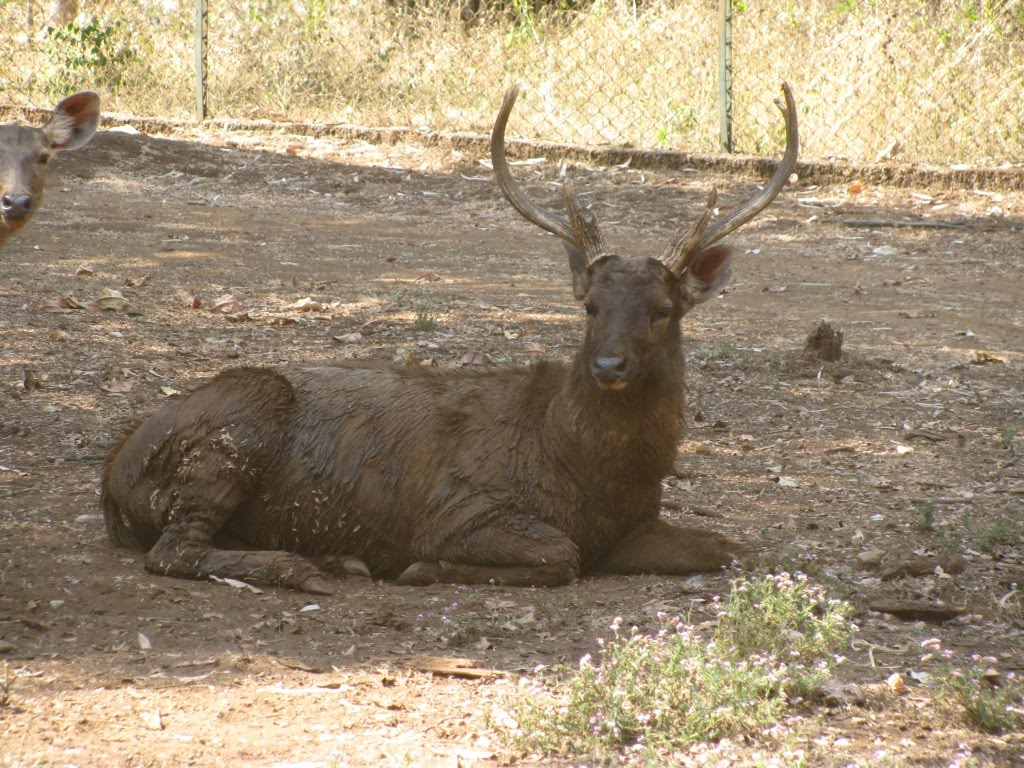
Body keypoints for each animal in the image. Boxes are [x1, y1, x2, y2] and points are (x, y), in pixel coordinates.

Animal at [99, 82, 798, 593]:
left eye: (662, 309)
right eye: (590, 305)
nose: (608, 365)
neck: (587, 470)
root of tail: (114, 474)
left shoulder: (635, 525)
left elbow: (727, 545)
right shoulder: (457, 511)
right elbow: (560, 554)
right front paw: (421, 569)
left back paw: (331, 561)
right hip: (238, 422)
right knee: (173, 550)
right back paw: (306, 568)